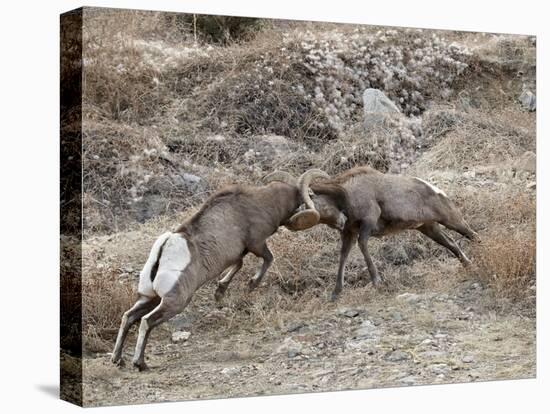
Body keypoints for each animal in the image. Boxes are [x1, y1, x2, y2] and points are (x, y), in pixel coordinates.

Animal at [110, 170, 330, 370]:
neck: (266, 202)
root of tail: (165, 247)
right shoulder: (257, 244)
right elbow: (268, 259)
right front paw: (251, 285)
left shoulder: (238, 253)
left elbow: (238, 265)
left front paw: (220, 292)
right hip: (175, 302)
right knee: (146, 322)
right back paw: (139, 363)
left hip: (150, 298)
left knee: (128, 317)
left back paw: (118, 359)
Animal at [266, 166, 478, 300]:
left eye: (306, 201)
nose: (340, 221)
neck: (346, 195)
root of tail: (436, 190)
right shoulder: (348, 234)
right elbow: (343, 257)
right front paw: (335, 294)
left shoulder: (367, 224)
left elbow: (363, 246)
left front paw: (377, 282)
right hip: (429, 228)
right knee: (452, 244)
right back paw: (468, 266)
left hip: (451, 220)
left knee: (473, 236)